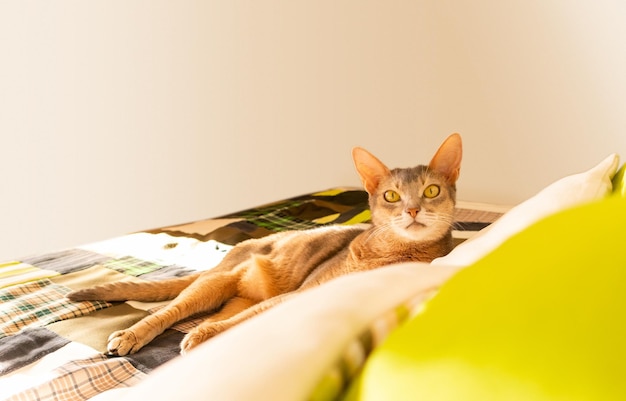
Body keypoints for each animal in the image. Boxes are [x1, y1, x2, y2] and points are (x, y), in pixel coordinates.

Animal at [68, 133, 460, 354]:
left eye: (431, 191)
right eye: (392, 195)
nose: (412, 209)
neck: (390, 251)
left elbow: (247, 321)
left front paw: (206, 338)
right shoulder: (304, 292)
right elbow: (251, 318)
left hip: (233, 295)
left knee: (223, 315)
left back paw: (198, 340)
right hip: (216, 281)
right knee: (169, 311)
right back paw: (132, 334)